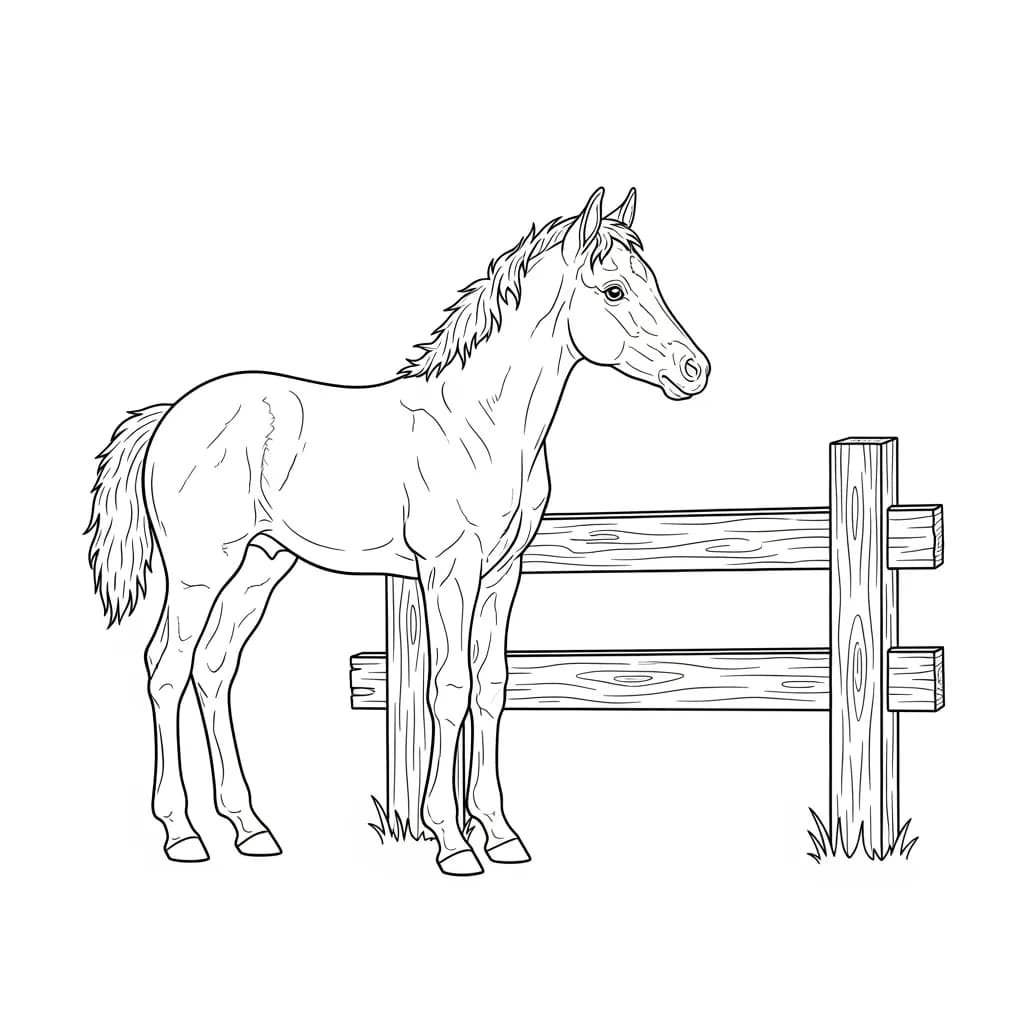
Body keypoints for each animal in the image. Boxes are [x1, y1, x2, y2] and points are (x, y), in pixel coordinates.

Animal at [86, 186, 710, 875]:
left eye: (652, 281)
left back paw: (250, 827)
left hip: (259, 567)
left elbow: (491, 686)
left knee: (214, 669)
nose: (694, 370)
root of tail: (171, 414)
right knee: (166, 669)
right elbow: (451, 687)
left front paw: (500, 833)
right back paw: (182, 833)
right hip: (201, 570)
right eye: (614, 290)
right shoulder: (448, 571)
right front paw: (452, 841)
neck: (480, 424)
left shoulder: (502, 574)